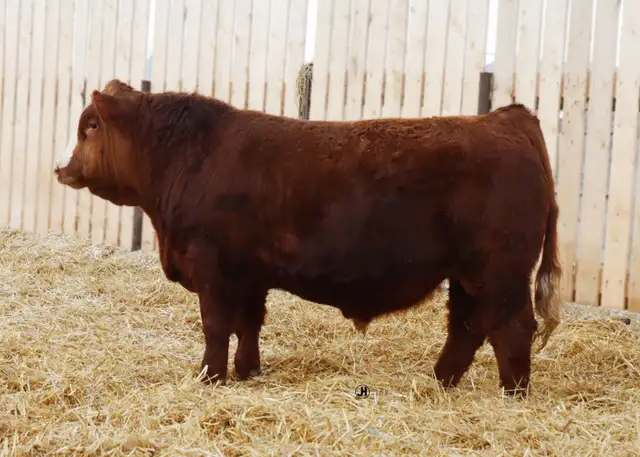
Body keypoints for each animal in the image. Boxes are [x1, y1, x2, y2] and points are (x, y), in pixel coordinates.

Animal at [54, 79, 563, 396]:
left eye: (91, 126)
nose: (61, 168)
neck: (189, 156)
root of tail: (506, 118)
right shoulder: (248, 276)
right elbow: (249, 325)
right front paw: (247, 371)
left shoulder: (213, 269)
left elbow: (217, 326)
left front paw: (210, 377)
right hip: (468, 276)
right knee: (467, 327)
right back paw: (439, 382)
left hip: (499, 271)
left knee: (511, 327)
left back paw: (513, 394)